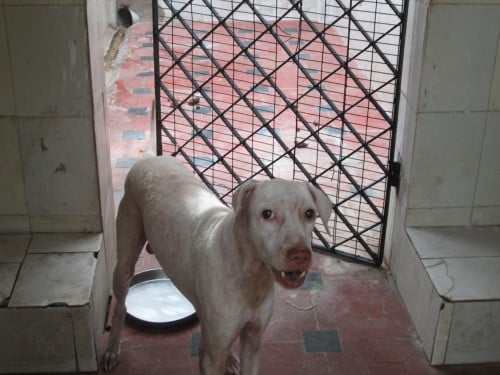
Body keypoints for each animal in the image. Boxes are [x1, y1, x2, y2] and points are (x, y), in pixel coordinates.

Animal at [101, 156, 332, 374]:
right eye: (267, 214)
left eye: (310, 213)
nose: (300, 254)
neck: (249, 272)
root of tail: (150, 158)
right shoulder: (213, 358)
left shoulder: (253, 341)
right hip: (124, 261)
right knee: (121, 305)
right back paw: (111, 348)